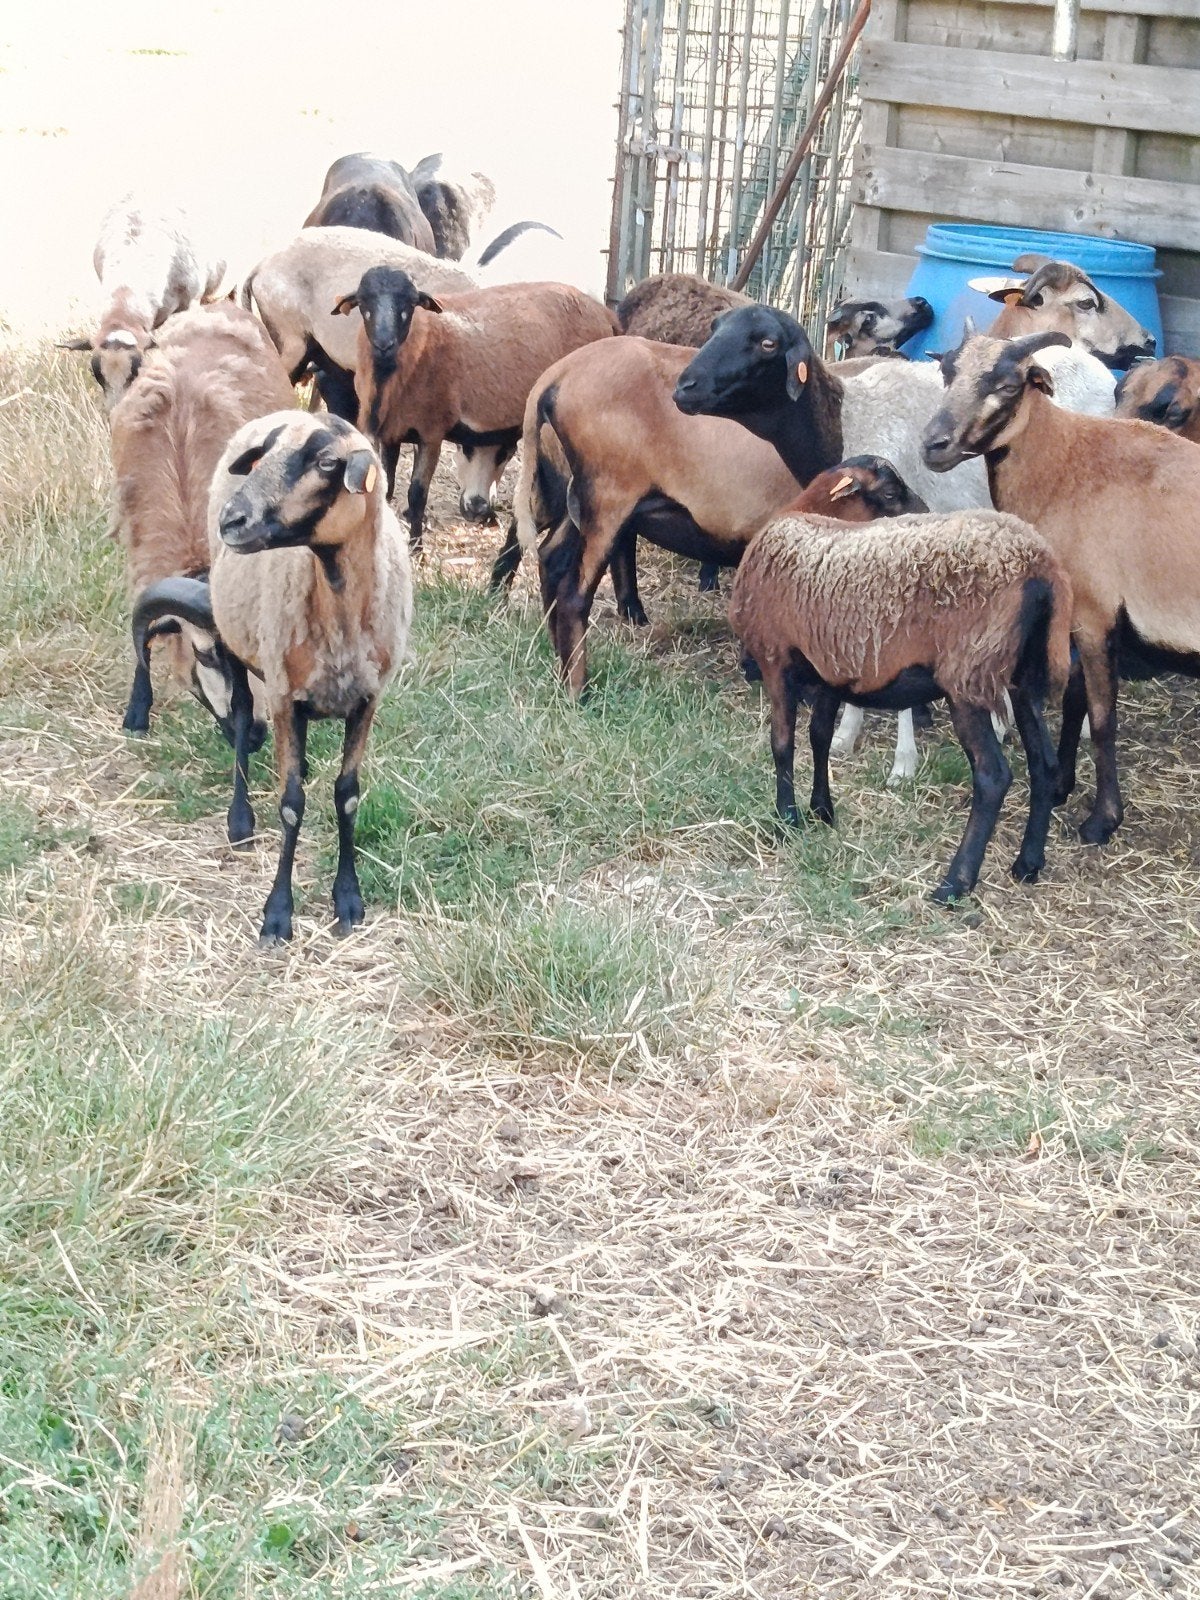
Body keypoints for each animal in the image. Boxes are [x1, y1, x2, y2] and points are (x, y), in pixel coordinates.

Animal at [133, 413, 412, 945]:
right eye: (265, 455)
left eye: (327, 463)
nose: (232, 520)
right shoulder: (283, 697)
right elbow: (290, 804)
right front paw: (278, 915)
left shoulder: (368, 701)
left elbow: (347, 797)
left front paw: (348, 901)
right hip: (241, 645)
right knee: (243, 717)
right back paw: (239, 820)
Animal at [336, 266, 617, 545]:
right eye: (364, 302)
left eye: (410, 303)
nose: (384, 344)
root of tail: (606, 313)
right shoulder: (391, 432)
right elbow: (387, 486)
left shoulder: (431, 432)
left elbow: (417, 496)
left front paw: (416, 547)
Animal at [733, 457, 1072, 903]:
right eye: (891, 493)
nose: (926, 512)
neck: (803, 516)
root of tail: (1040, 566)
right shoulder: (830, 671)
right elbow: (818, 736)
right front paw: (821, 810)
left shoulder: (776, 660)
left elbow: (782, 744)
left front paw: (787, 818)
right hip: (1024, 678)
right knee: (1044, 764)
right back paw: (1028, 863)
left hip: (967, 677)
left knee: (993, 776)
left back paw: (954, 883)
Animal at [923, 328, 1200, 848]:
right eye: (947, 372)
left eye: (1008, 385)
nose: (933, 444)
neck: (1063, 463)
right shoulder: (1075, 615)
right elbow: (1074, 699)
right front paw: (1060, 785)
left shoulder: (1095, 613)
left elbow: (1103, 719)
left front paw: (1102, 820)